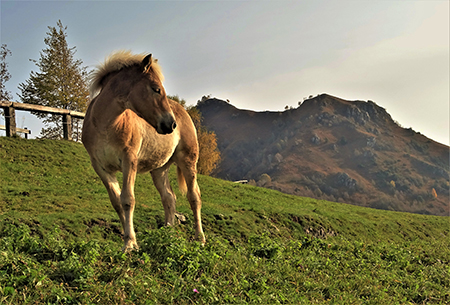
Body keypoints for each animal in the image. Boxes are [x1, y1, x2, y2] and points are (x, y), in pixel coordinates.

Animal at [81, 50, 205, 249]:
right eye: (156, 88)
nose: (171, 124)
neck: (106, 126)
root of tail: (183, 111)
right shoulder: (101, 167)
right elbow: (117, 201)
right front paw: (129, 239)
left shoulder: (129, 161)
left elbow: (128, 200)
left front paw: (130, 244)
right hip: (159, 169)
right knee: (169, 198)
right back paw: (167, 236)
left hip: (188, 161)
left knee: (194, 197)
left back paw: (199, 238)